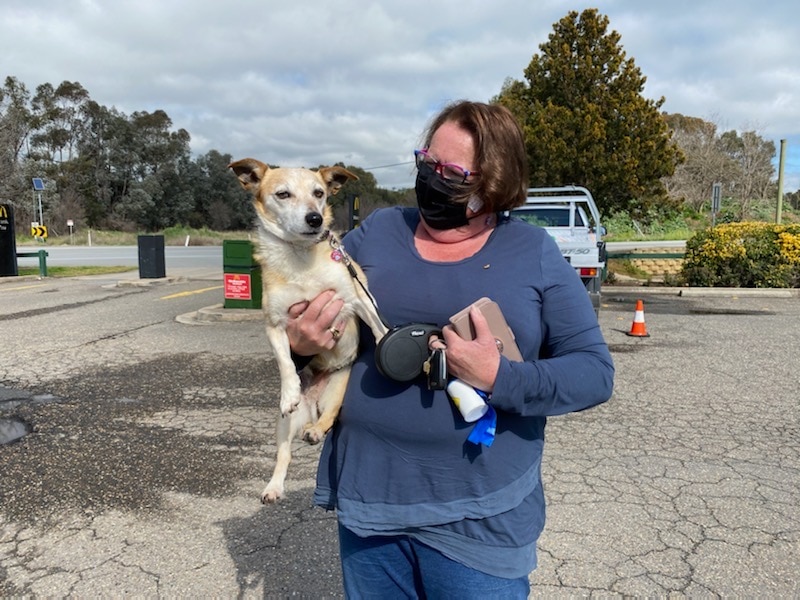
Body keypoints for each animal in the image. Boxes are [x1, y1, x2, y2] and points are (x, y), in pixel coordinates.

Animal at [228, 158, 388, 502]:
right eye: (283, 194)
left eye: (319, 193)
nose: (314, 219)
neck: (301, 258)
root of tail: (313, 406)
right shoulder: (275, 325)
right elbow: (286, 362)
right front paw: (288, 392)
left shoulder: (358, 299)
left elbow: (380, 329)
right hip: (285, 425)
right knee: (284, 454)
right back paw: (274, 485)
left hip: (336, 393)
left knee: (328, 419)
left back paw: (315, 431)